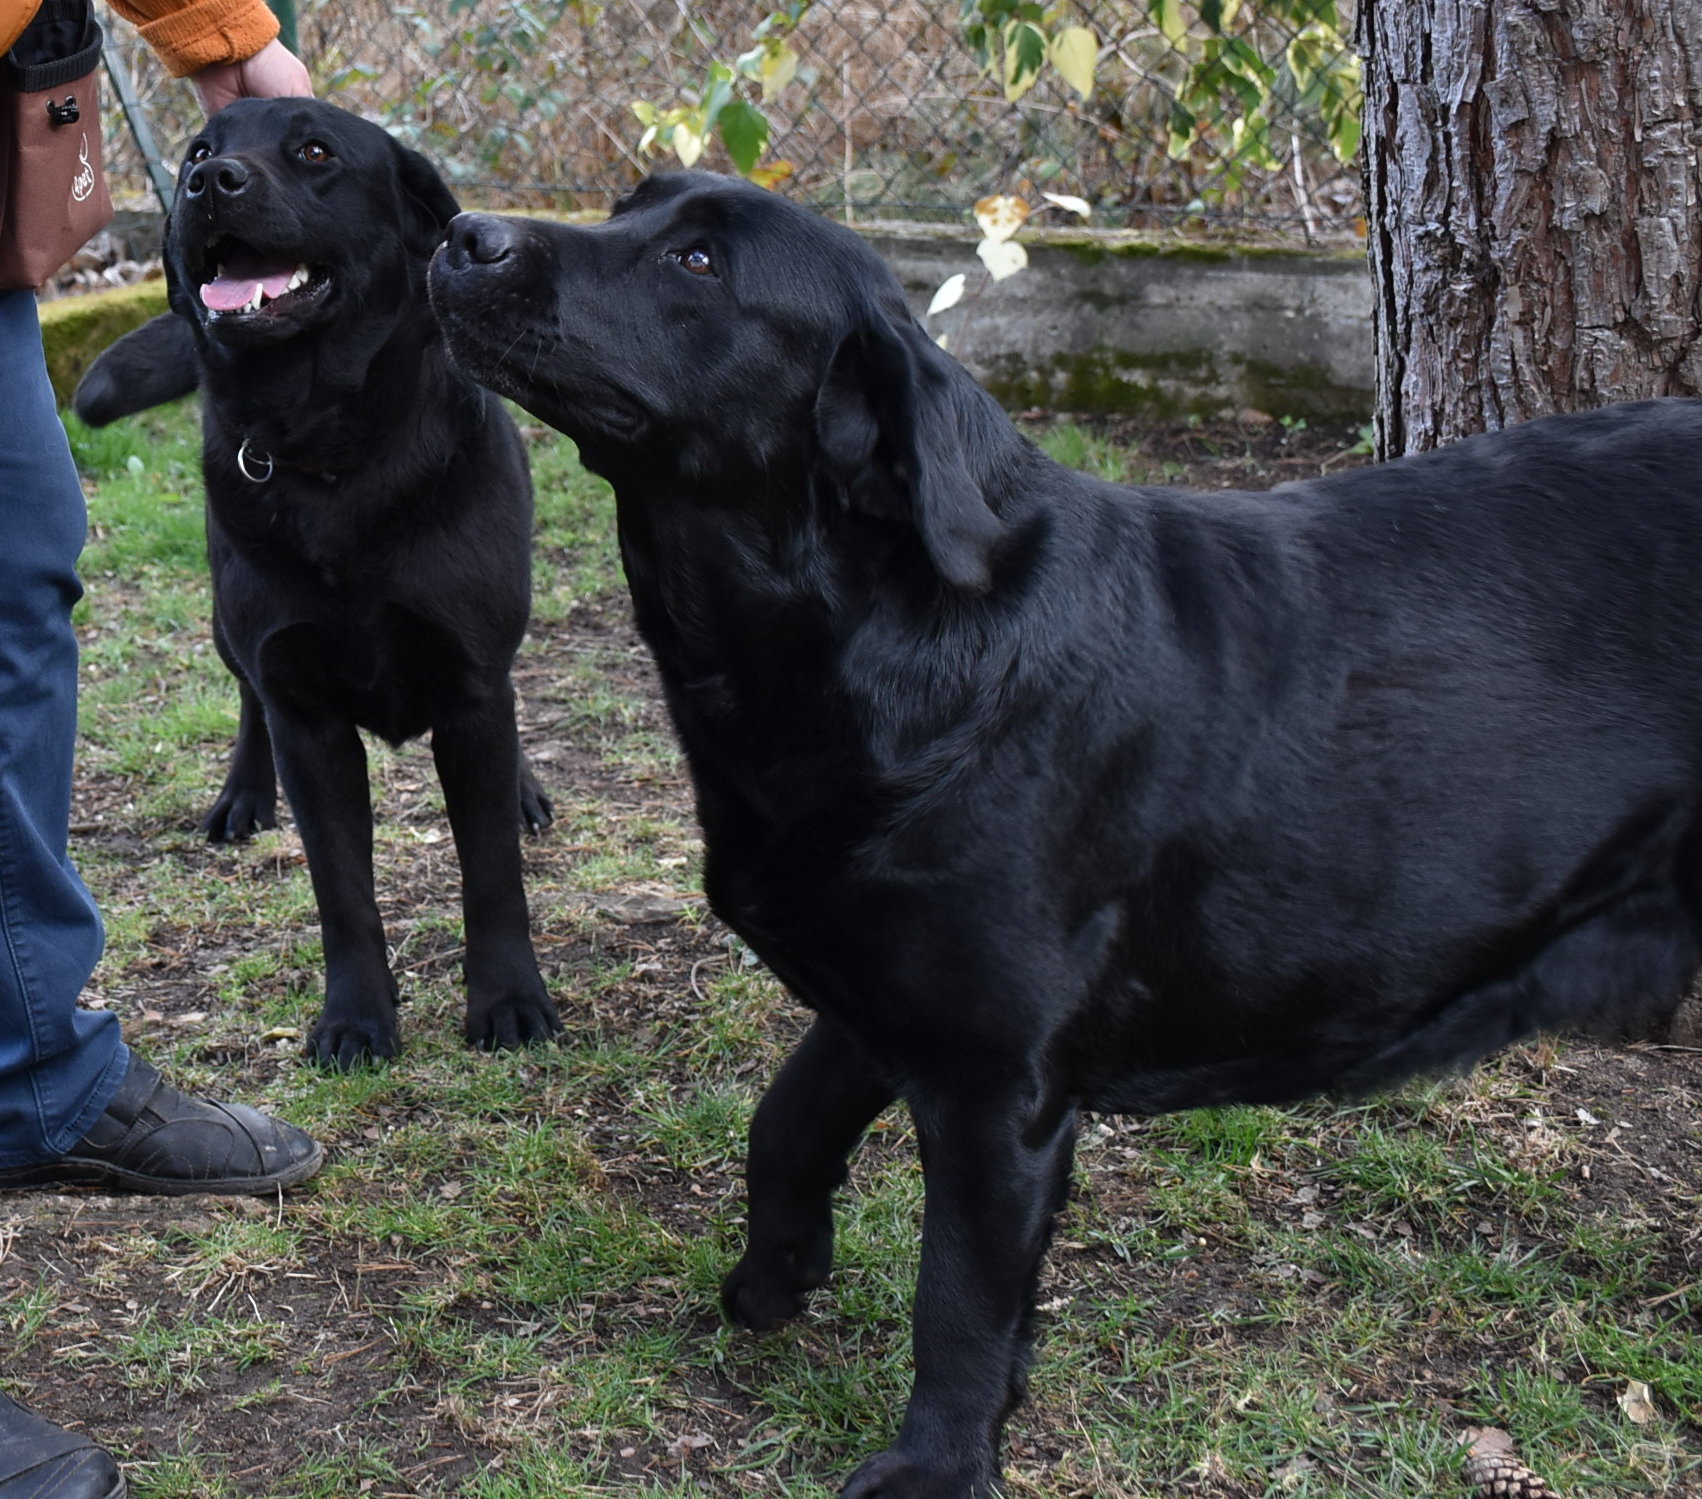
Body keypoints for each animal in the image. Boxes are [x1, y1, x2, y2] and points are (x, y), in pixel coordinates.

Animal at [81, 96, 558, 1061]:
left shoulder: (470, 684)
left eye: (313, 151)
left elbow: (490, 868)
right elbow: (342, 889)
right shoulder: (305, 710)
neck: (332, 453)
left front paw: (508, 1001)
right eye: (199, 148)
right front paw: (355, 1019)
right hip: (232, 628)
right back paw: (240, 796)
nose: (207, 182)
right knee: (243, 699)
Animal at [425, 178, 1702, 1497]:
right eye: (632, 207)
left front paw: (935, 1464)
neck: (890, 646)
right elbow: (782, 1122)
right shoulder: (882, 995)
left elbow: (960, 1299)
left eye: (696, 263)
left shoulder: (996, 1081)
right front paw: (774, 1273)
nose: (464, 235)